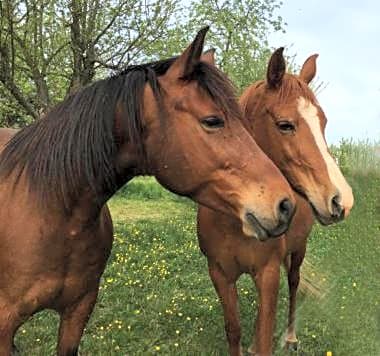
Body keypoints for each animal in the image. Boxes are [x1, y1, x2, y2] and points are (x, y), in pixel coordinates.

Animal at [197, 48, 354, 356]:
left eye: (323, 122)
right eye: (285, 125)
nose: (341, 200)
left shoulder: (268, 274)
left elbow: (264, 338)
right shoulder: (219, 274)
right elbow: (234, 330)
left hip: (298, 251)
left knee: (293, 284)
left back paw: (291, 336)